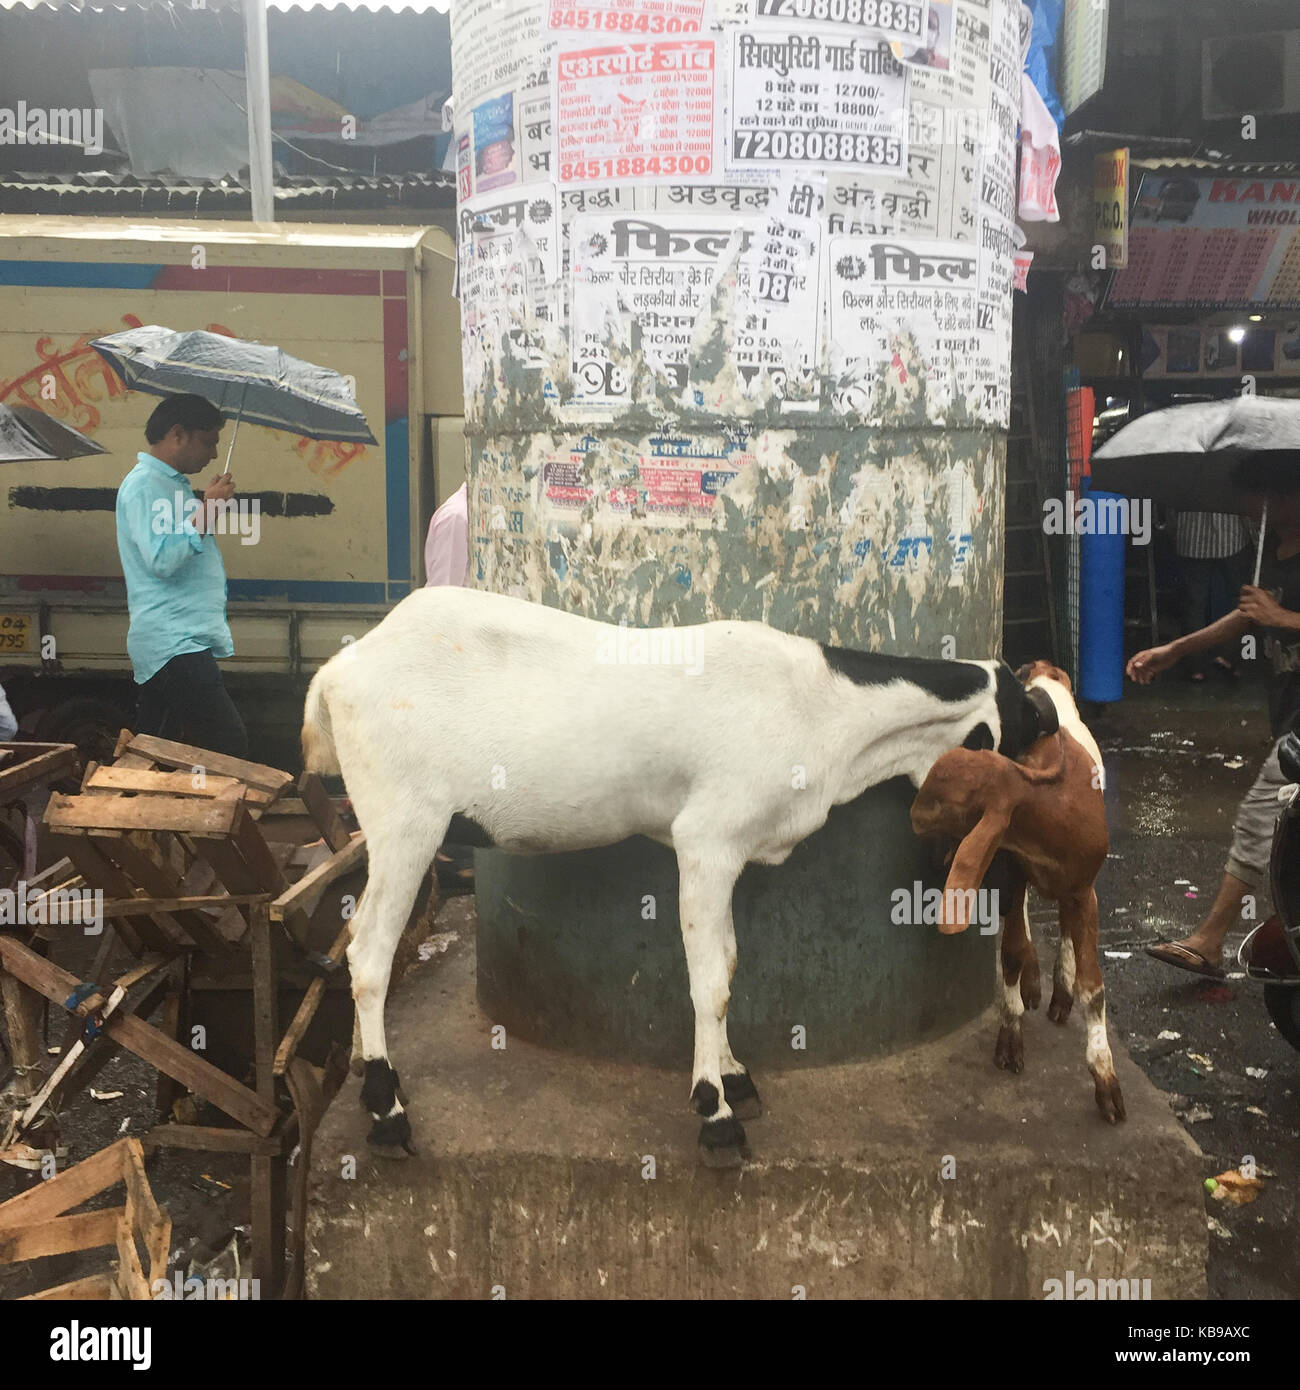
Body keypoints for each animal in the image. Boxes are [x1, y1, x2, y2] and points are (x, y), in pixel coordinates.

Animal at [303, 583, 1056, 1162]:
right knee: (369, 954)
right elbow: (710, 981)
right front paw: (715, 1116)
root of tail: (337, 670)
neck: (825, 706)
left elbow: (728, 960)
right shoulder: (706, 842)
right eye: (1019, 742)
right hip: (405, 822)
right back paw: (386, 1110)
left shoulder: (723, 853)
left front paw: (736, 1078)